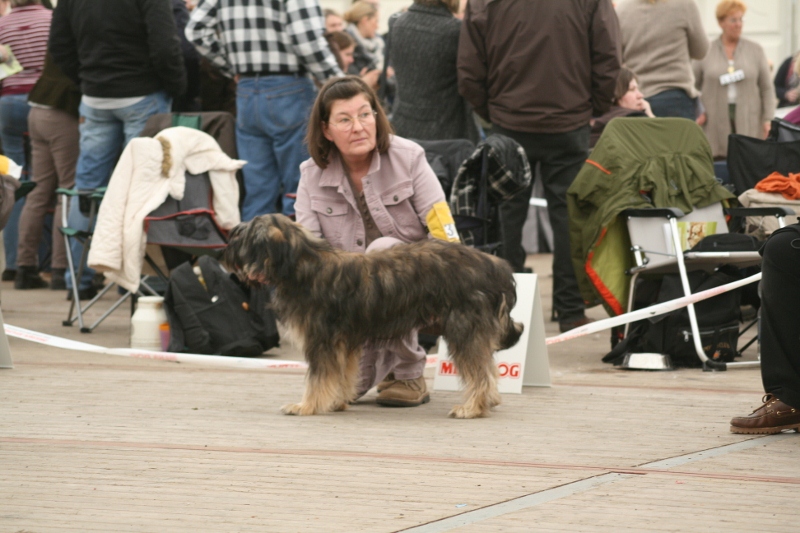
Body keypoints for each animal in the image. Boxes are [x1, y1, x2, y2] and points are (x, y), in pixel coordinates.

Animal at [225, 214, 524, 418]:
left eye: (243, 237)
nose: (222, 255)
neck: (301, 264)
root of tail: (496, 266)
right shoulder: (343, 342)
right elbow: (342, 375)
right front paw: (336, 401)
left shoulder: (321, 340)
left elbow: (318, 378)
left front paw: (306, 405)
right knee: (486, 367)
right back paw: (488, 401)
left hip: (464, 328)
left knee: (479, 372)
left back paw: (473, 407)